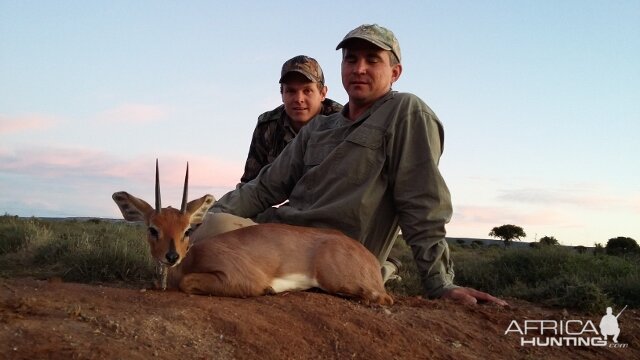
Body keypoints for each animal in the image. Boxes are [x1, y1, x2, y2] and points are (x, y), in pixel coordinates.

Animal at [112, 162, 392, 306]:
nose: (171, 256)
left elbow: (187, 282)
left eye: (187, 230)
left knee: (383, 298)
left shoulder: (240, 277)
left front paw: (270, 290)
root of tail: (369, 257)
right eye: (153, 228)